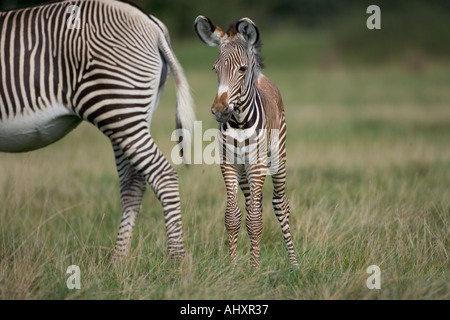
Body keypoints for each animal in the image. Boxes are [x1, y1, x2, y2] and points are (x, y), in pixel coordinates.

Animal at [0, 0, 193, 258]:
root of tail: (151, 22)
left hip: (117, 107)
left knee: (163, 176)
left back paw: (177, 260)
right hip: (129, 112)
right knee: (133, 183)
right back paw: (119, 261)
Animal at [194, 16, 298, 268]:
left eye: (241, 69)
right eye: (215, 68)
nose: (219, 110)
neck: (240, 123)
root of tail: (262, 78)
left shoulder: (258, 164)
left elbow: (255, 221)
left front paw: (254, 268)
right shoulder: (228, 165)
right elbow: (234, 217)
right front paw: (234, 267)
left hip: (276, 160)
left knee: (281, 205)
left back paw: (294, 264)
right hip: (244, 172)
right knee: (254, 204)